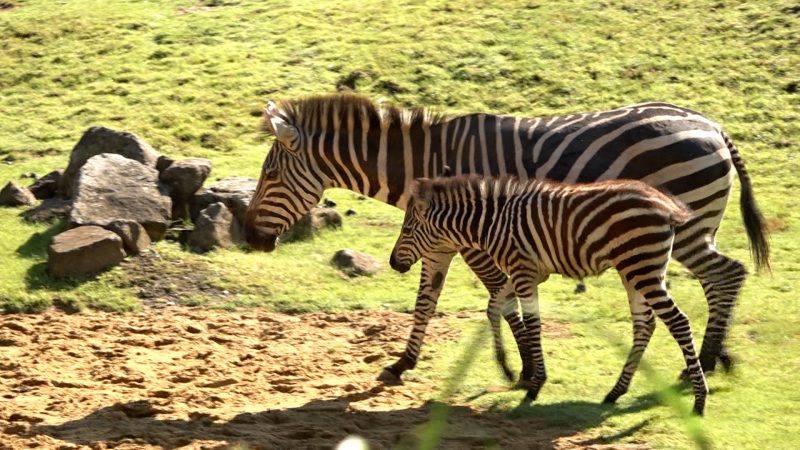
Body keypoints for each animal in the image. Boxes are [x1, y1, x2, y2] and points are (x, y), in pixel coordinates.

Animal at [244, 94, 768, 384]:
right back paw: (712, 358)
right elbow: (427, 301)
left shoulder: (475, 237)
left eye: (270, 175)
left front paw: (523, 369)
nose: (249, 237)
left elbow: (502, 294)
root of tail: (712, 124)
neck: (424, 164)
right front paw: (403, 362)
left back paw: (704, 361)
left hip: (687, 224)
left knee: (727, 275)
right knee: (724, 277)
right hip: (687, 228)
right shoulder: (441, 239)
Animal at [390, 175, 708, 414]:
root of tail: (666, 205)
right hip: (636, 270)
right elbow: (495, 305)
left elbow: (532, 323)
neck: (492, 223)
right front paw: (507, 367)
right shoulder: (529, 272)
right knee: (645, 324)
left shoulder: (522, 270)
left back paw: (699, 399)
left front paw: (535, 384)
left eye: (408, 229)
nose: (394, 263)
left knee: (678, 322)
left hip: (641, 266)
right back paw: (616, 392)